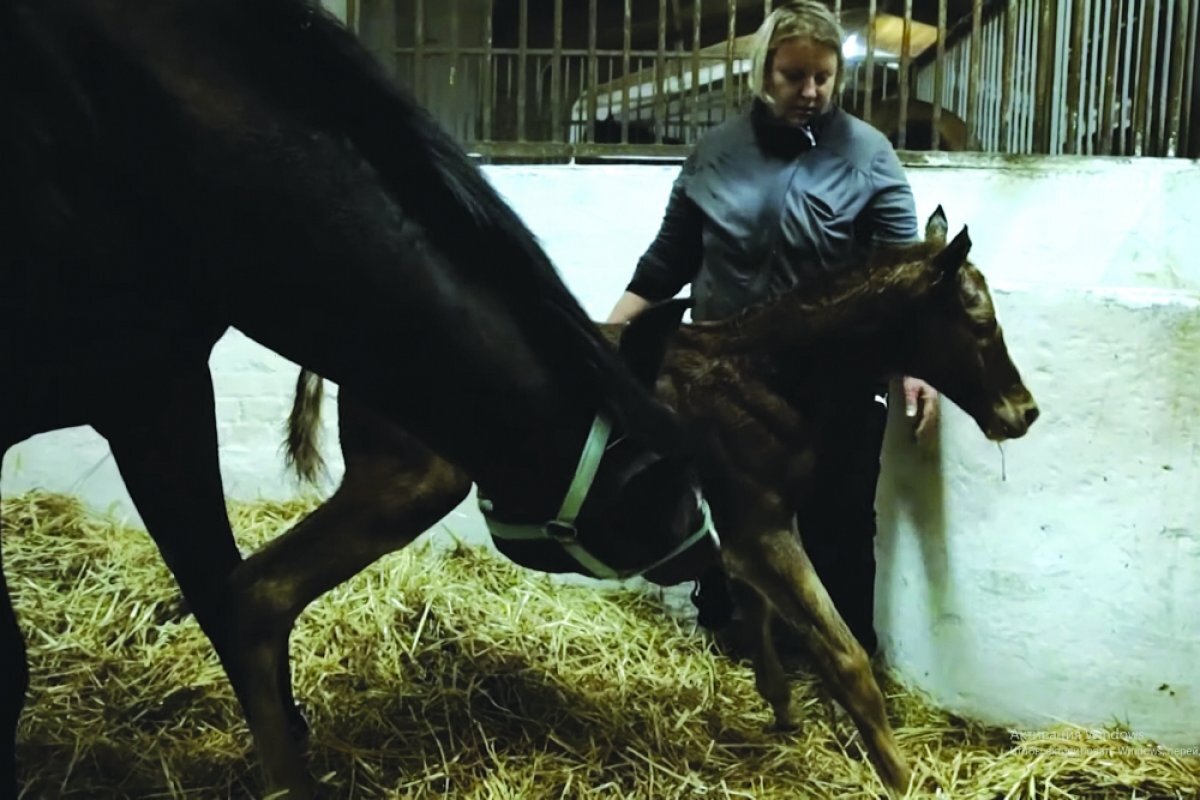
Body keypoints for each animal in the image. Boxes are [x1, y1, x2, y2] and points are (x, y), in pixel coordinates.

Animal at [283, 208, 1041, 800]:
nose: (1024, 411)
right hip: (402, 483)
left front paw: (784, 715)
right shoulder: (762, 523)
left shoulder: (743, 531)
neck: (768, 373)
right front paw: (902, 777)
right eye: (979, 323)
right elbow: (844, 656)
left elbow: (760, 619)